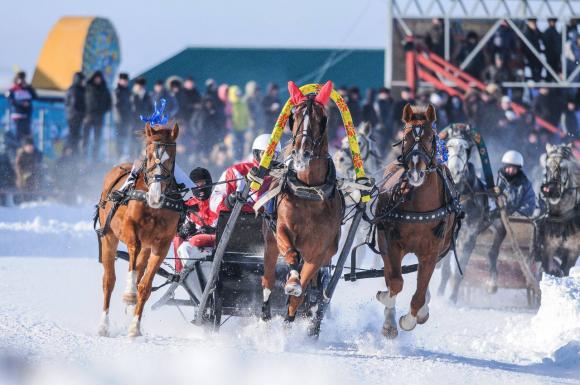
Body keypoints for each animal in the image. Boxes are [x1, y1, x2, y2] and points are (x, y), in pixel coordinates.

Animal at [96, 121, 180, 334]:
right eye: (149, 155)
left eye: (171, 157)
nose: (155, 195)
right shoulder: (129, 230)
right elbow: (134, 247)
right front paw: (129, 293)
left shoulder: (162, 244)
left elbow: (145, 286)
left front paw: (135, 326)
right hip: (109, 237)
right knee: (109, 280)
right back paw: (103, 324)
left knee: (139, 267)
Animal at [260, 81, 342, 328]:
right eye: (294, 115)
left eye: (321, 118)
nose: (301, 152)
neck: (309, 192)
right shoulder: (282, 230)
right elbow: (292, 256)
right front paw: (293, 281)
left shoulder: (320, 252)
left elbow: (301, 292)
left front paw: (294, 308)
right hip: (269, 243)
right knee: (267, 281)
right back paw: (266, 313)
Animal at [376, 103, 462, 338]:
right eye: (405, 136)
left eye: (430, 136)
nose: (415, 169)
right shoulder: (391, 242)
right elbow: (395, 283)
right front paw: (389, 315)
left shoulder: (431, 251)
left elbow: (420, 293)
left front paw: (411, 318)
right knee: (390, 276)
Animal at [536, 142, 576, 274]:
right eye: (547, 167)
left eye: (563, 168)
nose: (550, 190)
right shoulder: (548, 246)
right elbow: (548, 267)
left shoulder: (573, 250)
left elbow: (566, 269)